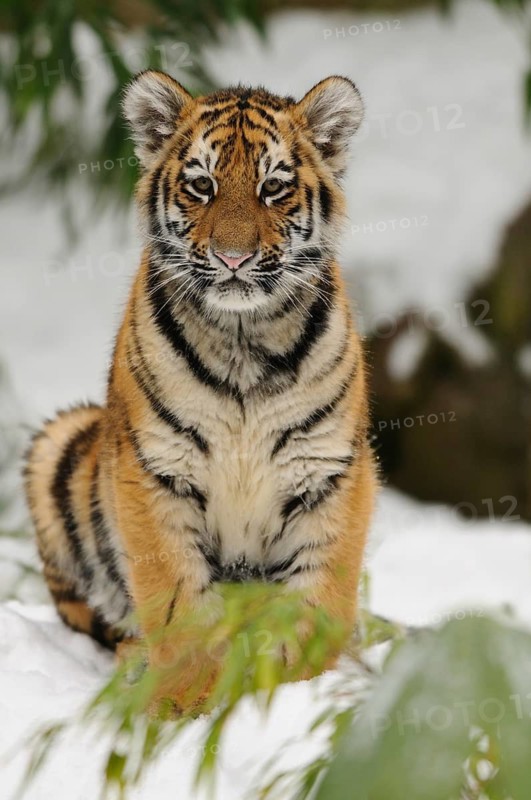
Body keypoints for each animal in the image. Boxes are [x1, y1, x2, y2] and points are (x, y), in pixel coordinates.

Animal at [23, 70, 377, 711]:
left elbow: (316, 603)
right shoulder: (156, 470)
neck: (244, 341)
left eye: (272, 187)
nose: (232, 257)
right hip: (56, 446)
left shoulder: (329, 471)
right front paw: (186, 702)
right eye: (201, 185)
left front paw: (299, 692)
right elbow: (178, 605)